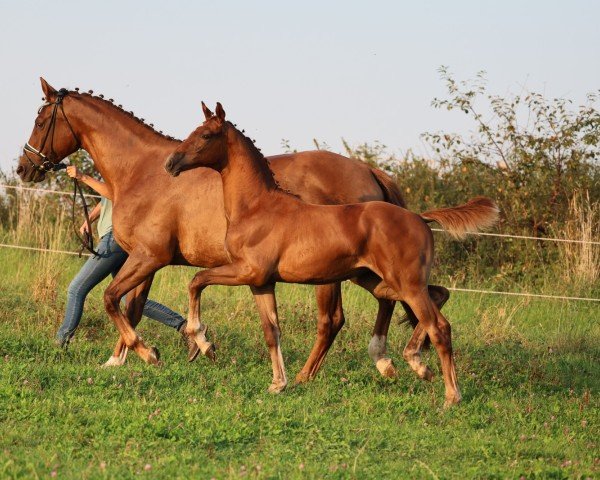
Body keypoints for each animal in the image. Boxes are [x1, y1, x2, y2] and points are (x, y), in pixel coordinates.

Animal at [15, 78, 446, 378]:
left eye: (40, 120)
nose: (24, 167)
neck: (143, 170)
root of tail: (369, 171)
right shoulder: (146, 260)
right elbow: (133, 306)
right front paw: (127, 357)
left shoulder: (149, 256)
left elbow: (111, 300)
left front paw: (152, 351)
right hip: (359, 271)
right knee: (399, 301)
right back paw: (391, 362)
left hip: (331, 275)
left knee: (335, 320)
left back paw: (309, 375)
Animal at [164, 103, 496, 406]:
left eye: (206, 135)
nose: (171, 163)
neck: (257, 207)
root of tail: (420, 217)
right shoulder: (261, 282)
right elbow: (272, 330)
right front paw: (277, 384)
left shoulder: (247, 270)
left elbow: (197, 280)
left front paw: (203, 342)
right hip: (381, 281)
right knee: (434, 298)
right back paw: (415, 364)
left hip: (406, 283)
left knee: (438, 326)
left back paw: (450, 394)